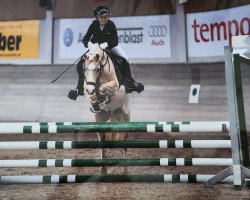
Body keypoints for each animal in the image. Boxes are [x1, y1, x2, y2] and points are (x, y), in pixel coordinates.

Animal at [82, 43, 130, 174]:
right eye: (84, 69)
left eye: (98, 69)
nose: (90, 89)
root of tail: (112, 114)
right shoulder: (86, 86)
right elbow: (92, 93)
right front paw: (96, 100)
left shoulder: (114, 84)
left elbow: (104, 87)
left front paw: (103, 96)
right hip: (99, 120)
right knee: (102, 142)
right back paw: (103, 169)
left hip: (124, 119)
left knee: (124, 144)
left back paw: (125, 170)